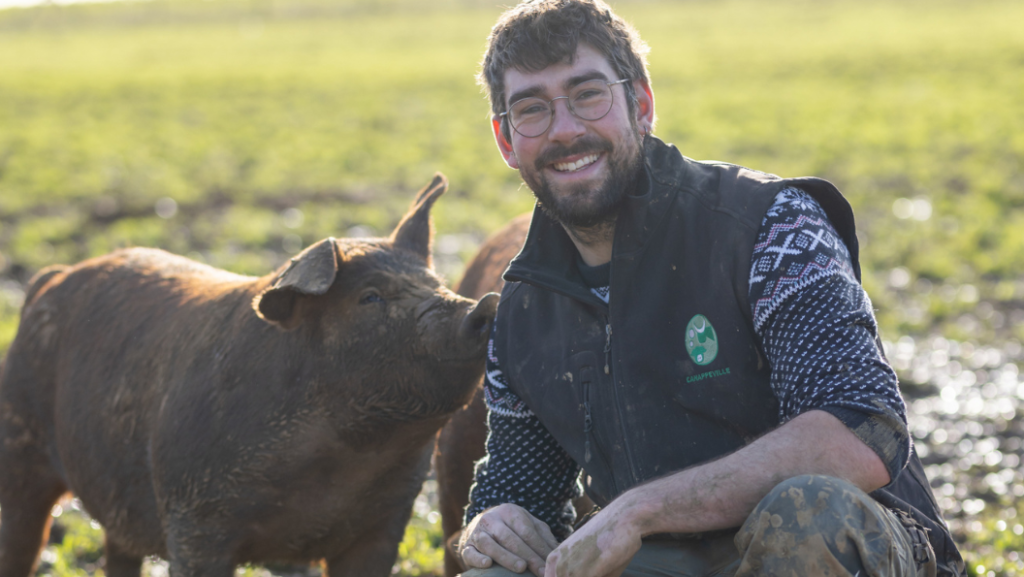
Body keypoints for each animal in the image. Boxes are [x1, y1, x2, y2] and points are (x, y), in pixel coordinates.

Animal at [0, 175, 497, 577]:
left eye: (436, 284)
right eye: (370, 297)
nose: (482, 305)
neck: (339, 459)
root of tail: (51, 277)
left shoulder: (386, 521)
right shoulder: (194, 519)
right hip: (18, 449)